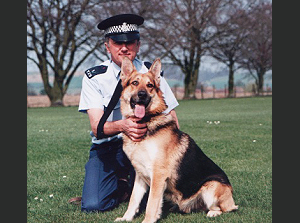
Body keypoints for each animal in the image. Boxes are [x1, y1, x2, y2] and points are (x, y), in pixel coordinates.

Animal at [115, 56, 239, 222]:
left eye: (149, 85)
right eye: (135, 83)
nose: (141, 94)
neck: (147, 122)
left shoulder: (158, 175)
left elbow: (151, 203)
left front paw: (148, 220)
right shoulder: (140, 176)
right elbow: (134, 200)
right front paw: (126, 218)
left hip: (211, 186)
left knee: (225, 209)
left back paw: (213, 212)